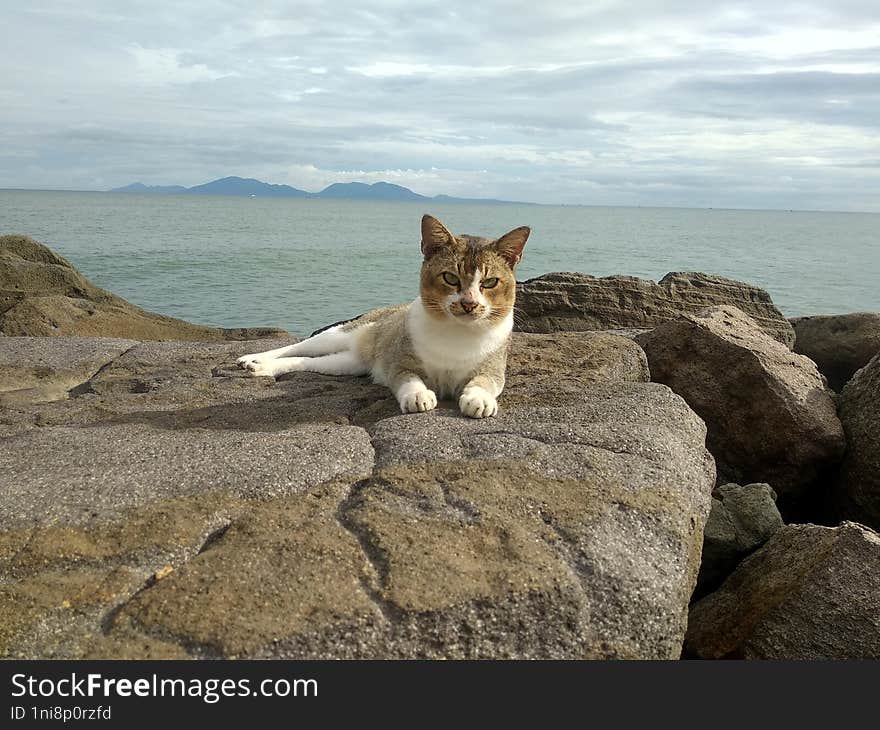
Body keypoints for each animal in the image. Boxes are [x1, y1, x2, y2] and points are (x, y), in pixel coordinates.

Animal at [234, 213, 532, 418]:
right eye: (450, 278)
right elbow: (407, 377)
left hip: (347, 364)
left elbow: (485, 381)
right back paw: (253, 359)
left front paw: (478, 399)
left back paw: (262, 368)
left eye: (489, 282)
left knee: (305, 362)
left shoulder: (494, 367)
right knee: (299, 346)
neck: (457, 332)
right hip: (345, 332)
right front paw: (418, 395)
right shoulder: (399, 362)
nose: (469, 304)